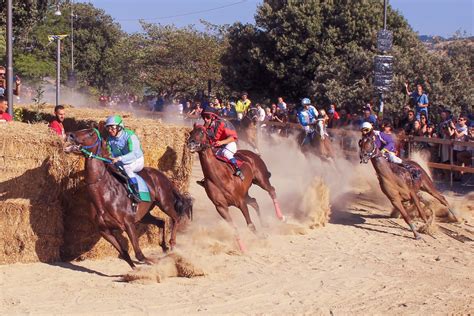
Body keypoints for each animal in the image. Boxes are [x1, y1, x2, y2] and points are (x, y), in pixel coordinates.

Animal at [63, 127, 193, 268]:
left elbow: (139, 254)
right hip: (144, 215)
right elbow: (125, 254)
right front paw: (135, 268)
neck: (103, 195)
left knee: (176, 218)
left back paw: (172, 243)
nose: (69, 135)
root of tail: (162, 175)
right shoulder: (104, 231)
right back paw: (163, 246)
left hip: (165, 203)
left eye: (91, 132)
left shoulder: (128, 224)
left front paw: (152, 262)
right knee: (161, 222)